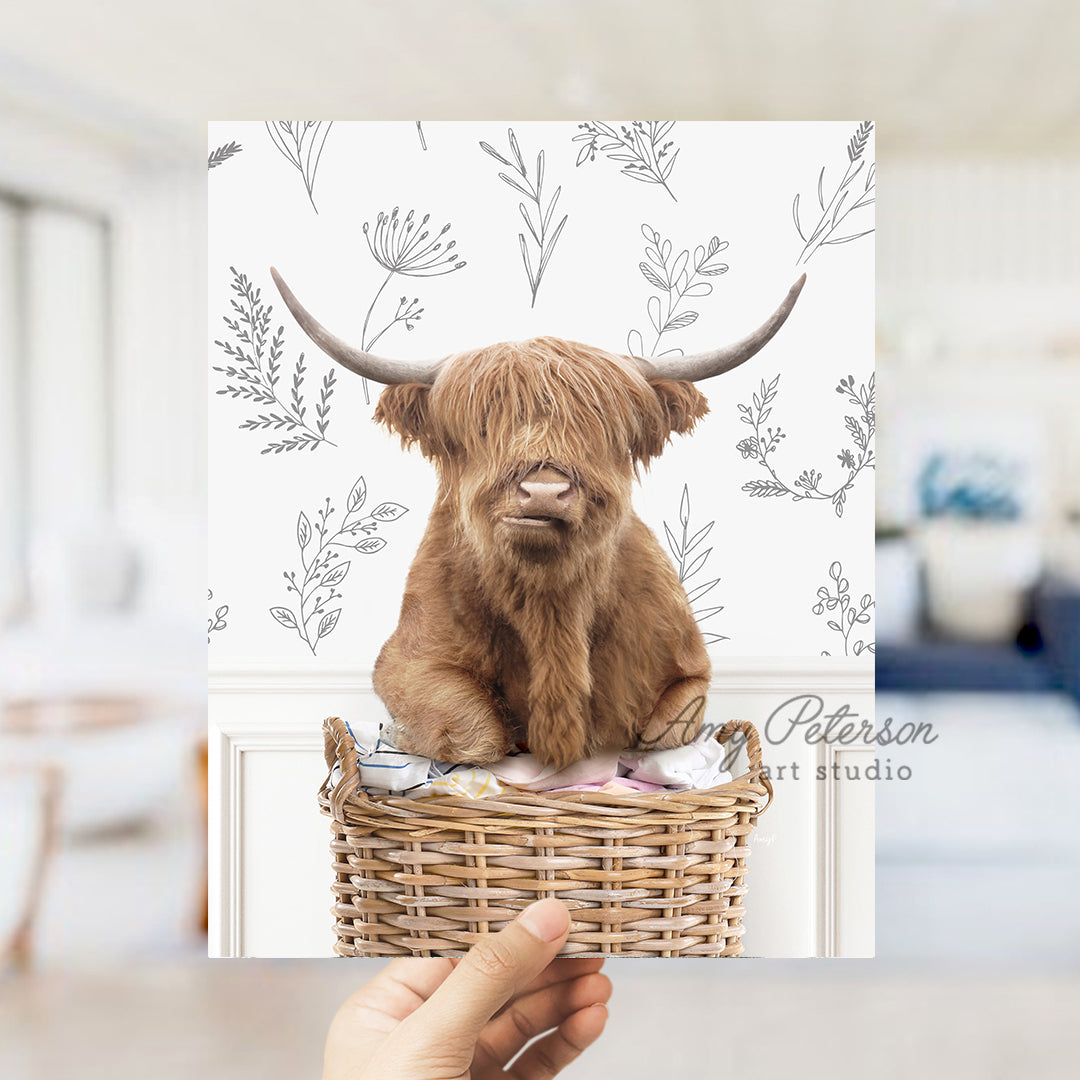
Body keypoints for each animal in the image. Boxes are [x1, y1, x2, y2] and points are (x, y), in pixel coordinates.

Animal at [274, 272, 807, 777]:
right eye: (484, 425)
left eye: (601, 429)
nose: (545, 491)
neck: (551, 609)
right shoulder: (406, 661)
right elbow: (476, 735)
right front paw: (411, 740)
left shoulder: (688, 666)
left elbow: (662, 736)